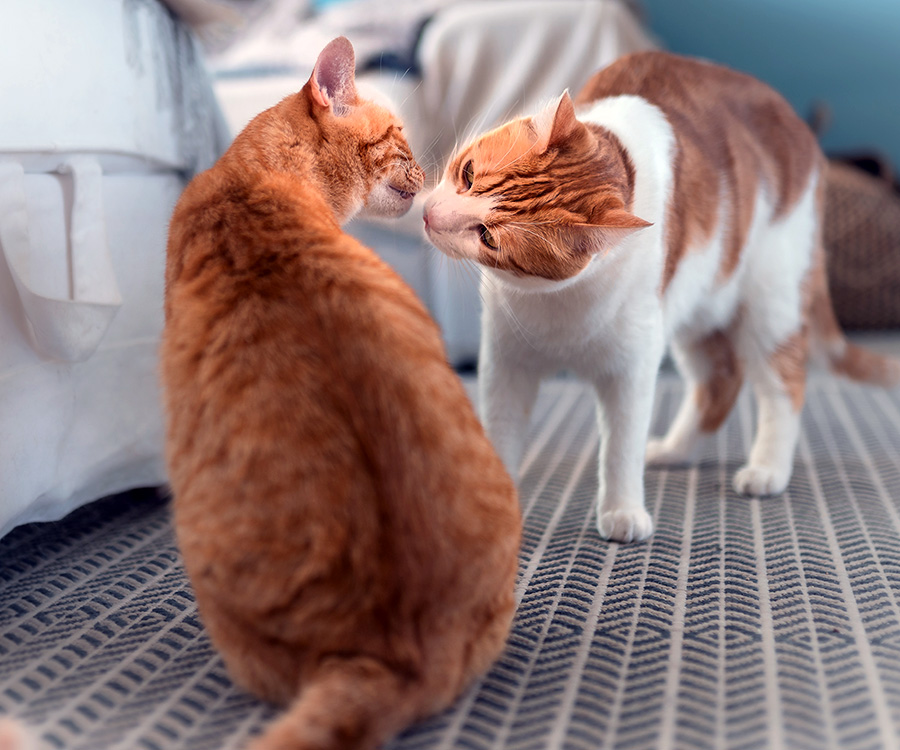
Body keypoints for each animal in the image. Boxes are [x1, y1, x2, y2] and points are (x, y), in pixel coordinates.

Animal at [424, 53, 900, 548]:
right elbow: (501, 437)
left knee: (784, 385)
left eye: (488, 237)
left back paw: (767, 469)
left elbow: (621, 447)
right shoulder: (506, 365)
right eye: (468, 174)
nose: (429, 216)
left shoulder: (631, 367)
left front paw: (622, 511)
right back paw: (675, 451)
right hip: (696, 316)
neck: (556, 304)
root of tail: (797, 121)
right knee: (721, 381)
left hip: (770, 305)